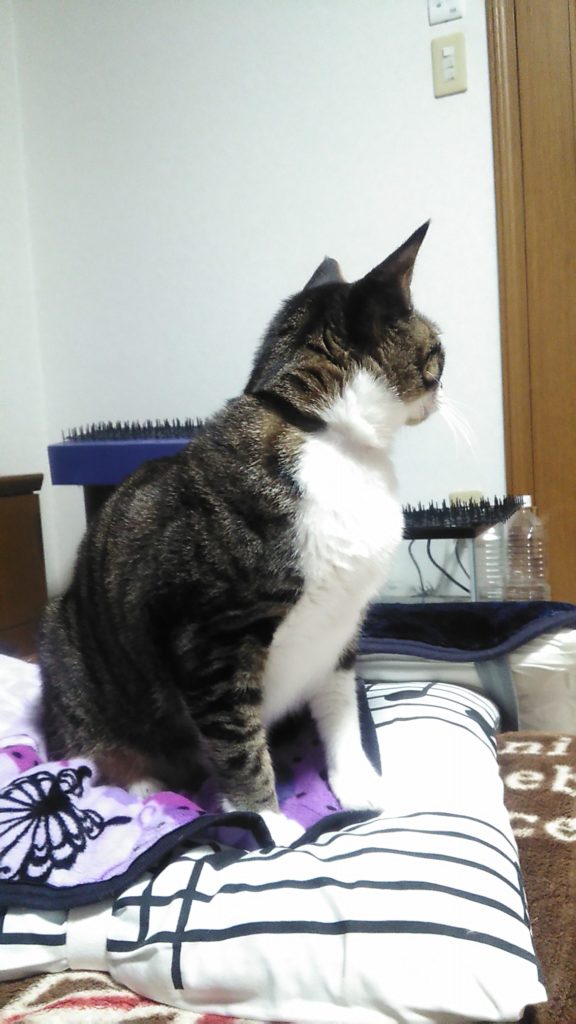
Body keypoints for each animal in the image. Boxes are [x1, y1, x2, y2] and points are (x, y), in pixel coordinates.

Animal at [39, 222, 444, 846]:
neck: (325, 436)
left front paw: (358, 785)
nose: (444, 384)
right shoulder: (211, 638)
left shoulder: (342, 628)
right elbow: (237, 741)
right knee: (91, 751)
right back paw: (142, 786)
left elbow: (341, 708)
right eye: (438, 349)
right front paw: (267, 821)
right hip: (68, 650)